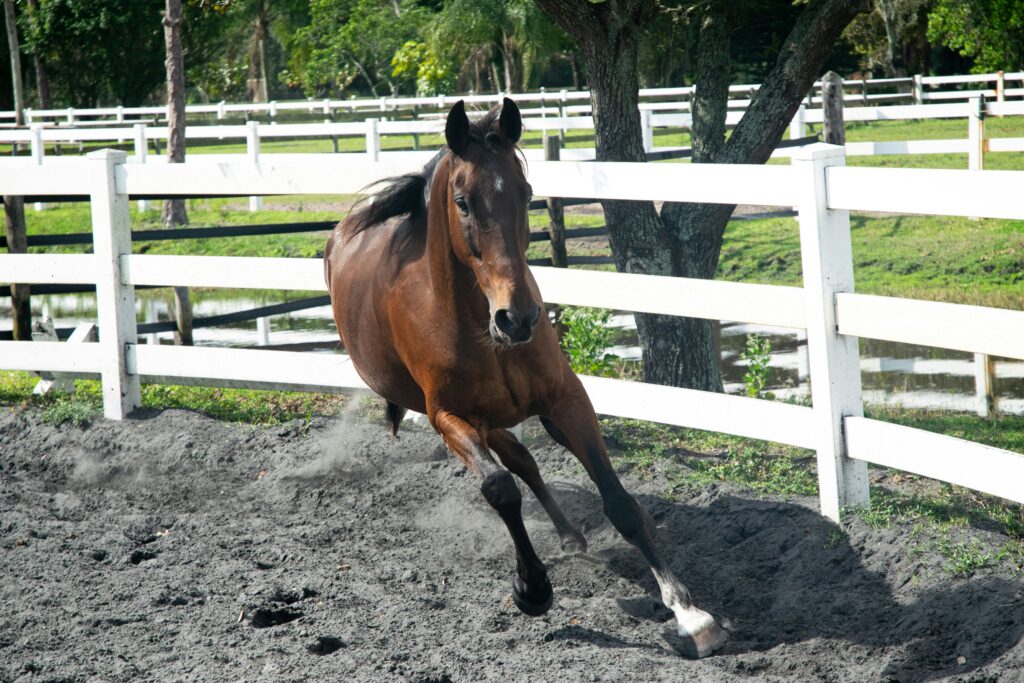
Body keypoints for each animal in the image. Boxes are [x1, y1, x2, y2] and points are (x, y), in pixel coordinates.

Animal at [323, 98, 733, 659]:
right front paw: (532, 588)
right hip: (481, 422)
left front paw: (691, 615)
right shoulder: (449, 418)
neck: (479, 325)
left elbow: (620, 503)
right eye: (463, 202)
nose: (517, 318)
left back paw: (571, 537)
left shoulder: (566, 400)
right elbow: (500, 489)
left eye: (527, 192)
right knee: (516, 466)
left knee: (528, 461)